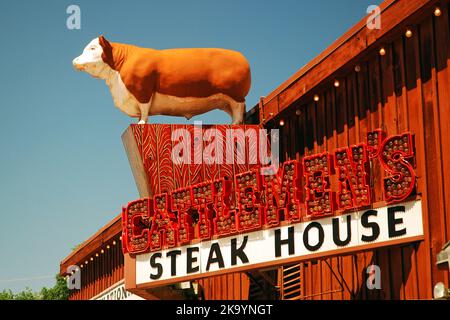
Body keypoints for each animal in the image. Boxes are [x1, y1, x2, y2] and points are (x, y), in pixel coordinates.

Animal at [72, 36, 251, 124]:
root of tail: (241, 56)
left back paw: (234, 125)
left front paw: (141, 123)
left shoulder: (143, 91)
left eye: (93, 48)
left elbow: (144, 111)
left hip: (235, 95)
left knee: (239, 110)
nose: (74, 60)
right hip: (224, 102)